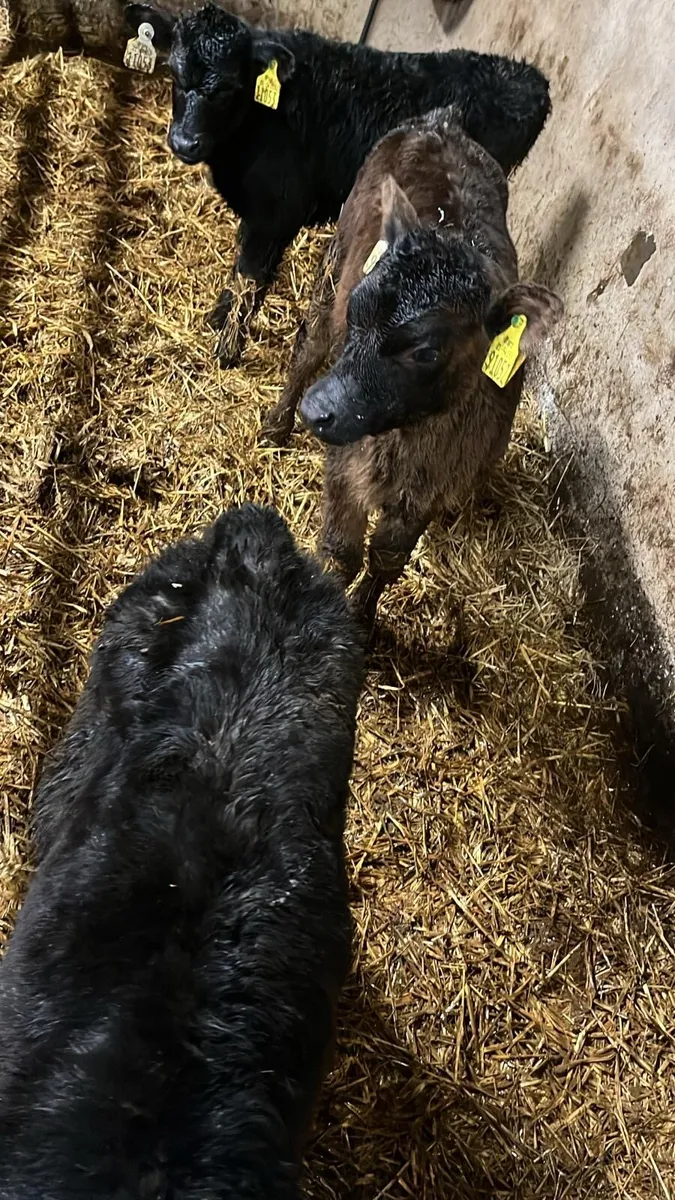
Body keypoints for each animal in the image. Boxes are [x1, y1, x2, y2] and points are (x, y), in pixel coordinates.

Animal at [126, 2, 551, 366]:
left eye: (229, 87)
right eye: (174, 72)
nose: (185, 142)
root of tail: (529, 78)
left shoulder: (278, 212)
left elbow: (251, 277)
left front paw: (227, 349)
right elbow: (239, 271)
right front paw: (217, 316)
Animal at [264, 109, 563, 629]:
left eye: (426, 351)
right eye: (357, 307)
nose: (316, 410)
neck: (403, 438)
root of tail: (441, 122)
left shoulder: (429, 489)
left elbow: (387, 558)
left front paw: (364, 618)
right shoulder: (344, 465)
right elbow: (341, 553)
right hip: (333, 263)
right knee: (308, 347)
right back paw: (277, 424)